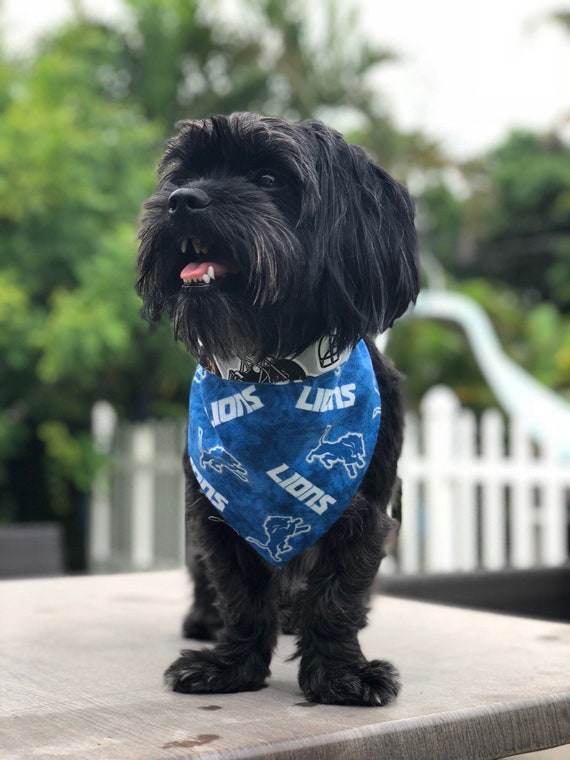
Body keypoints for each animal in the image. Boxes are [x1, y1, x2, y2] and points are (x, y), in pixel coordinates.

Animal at [135, 113, 414, 708]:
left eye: (268, 178)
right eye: (184, 176)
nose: (180, 201)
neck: (274, 372)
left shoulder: (363, 509)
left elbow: (337, 596)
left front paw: (340, 675)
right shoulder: (219, 509)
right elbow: (239, 595)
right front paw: (231, 666)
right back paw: (205, 618)